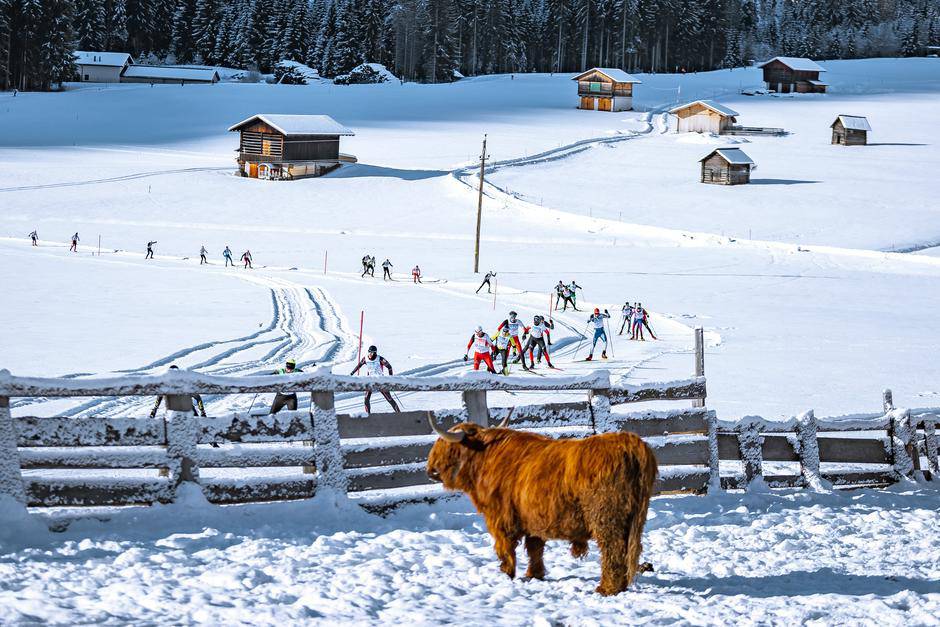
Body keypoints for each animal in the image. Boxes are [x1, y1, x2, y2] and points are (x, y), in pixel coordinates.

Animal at [424, 414, 652, 596]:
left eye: (446, 446)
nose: (430, 470)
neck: (485, 457)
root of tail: (629, 442)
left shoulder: (500, 519)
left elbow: (505, 548)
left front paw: (506, 573)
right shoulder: (533, 518)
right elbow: (535, 548)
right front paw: (534, 574)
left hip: (607, 520)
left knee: (612, 551)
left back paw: (607, 588)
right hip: (634, 520)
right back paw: (621, 585)